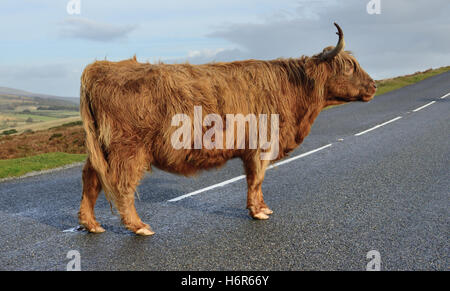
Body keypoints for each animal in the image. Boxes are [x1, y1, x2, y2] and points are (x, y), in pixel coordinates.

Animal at [78, 24, 376, 236]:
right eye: (349, 67)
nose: (373, 85)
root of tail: (100, 66)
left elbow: (256, 181)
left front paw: (263, 207)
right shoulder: (261, 145)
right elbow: (256, 179)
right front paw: (258, 212)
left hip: (103, 148)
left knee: (91, 178)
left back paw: (91, 224)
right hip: (129, 148)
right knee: (122, 185)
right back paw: (139, 226)